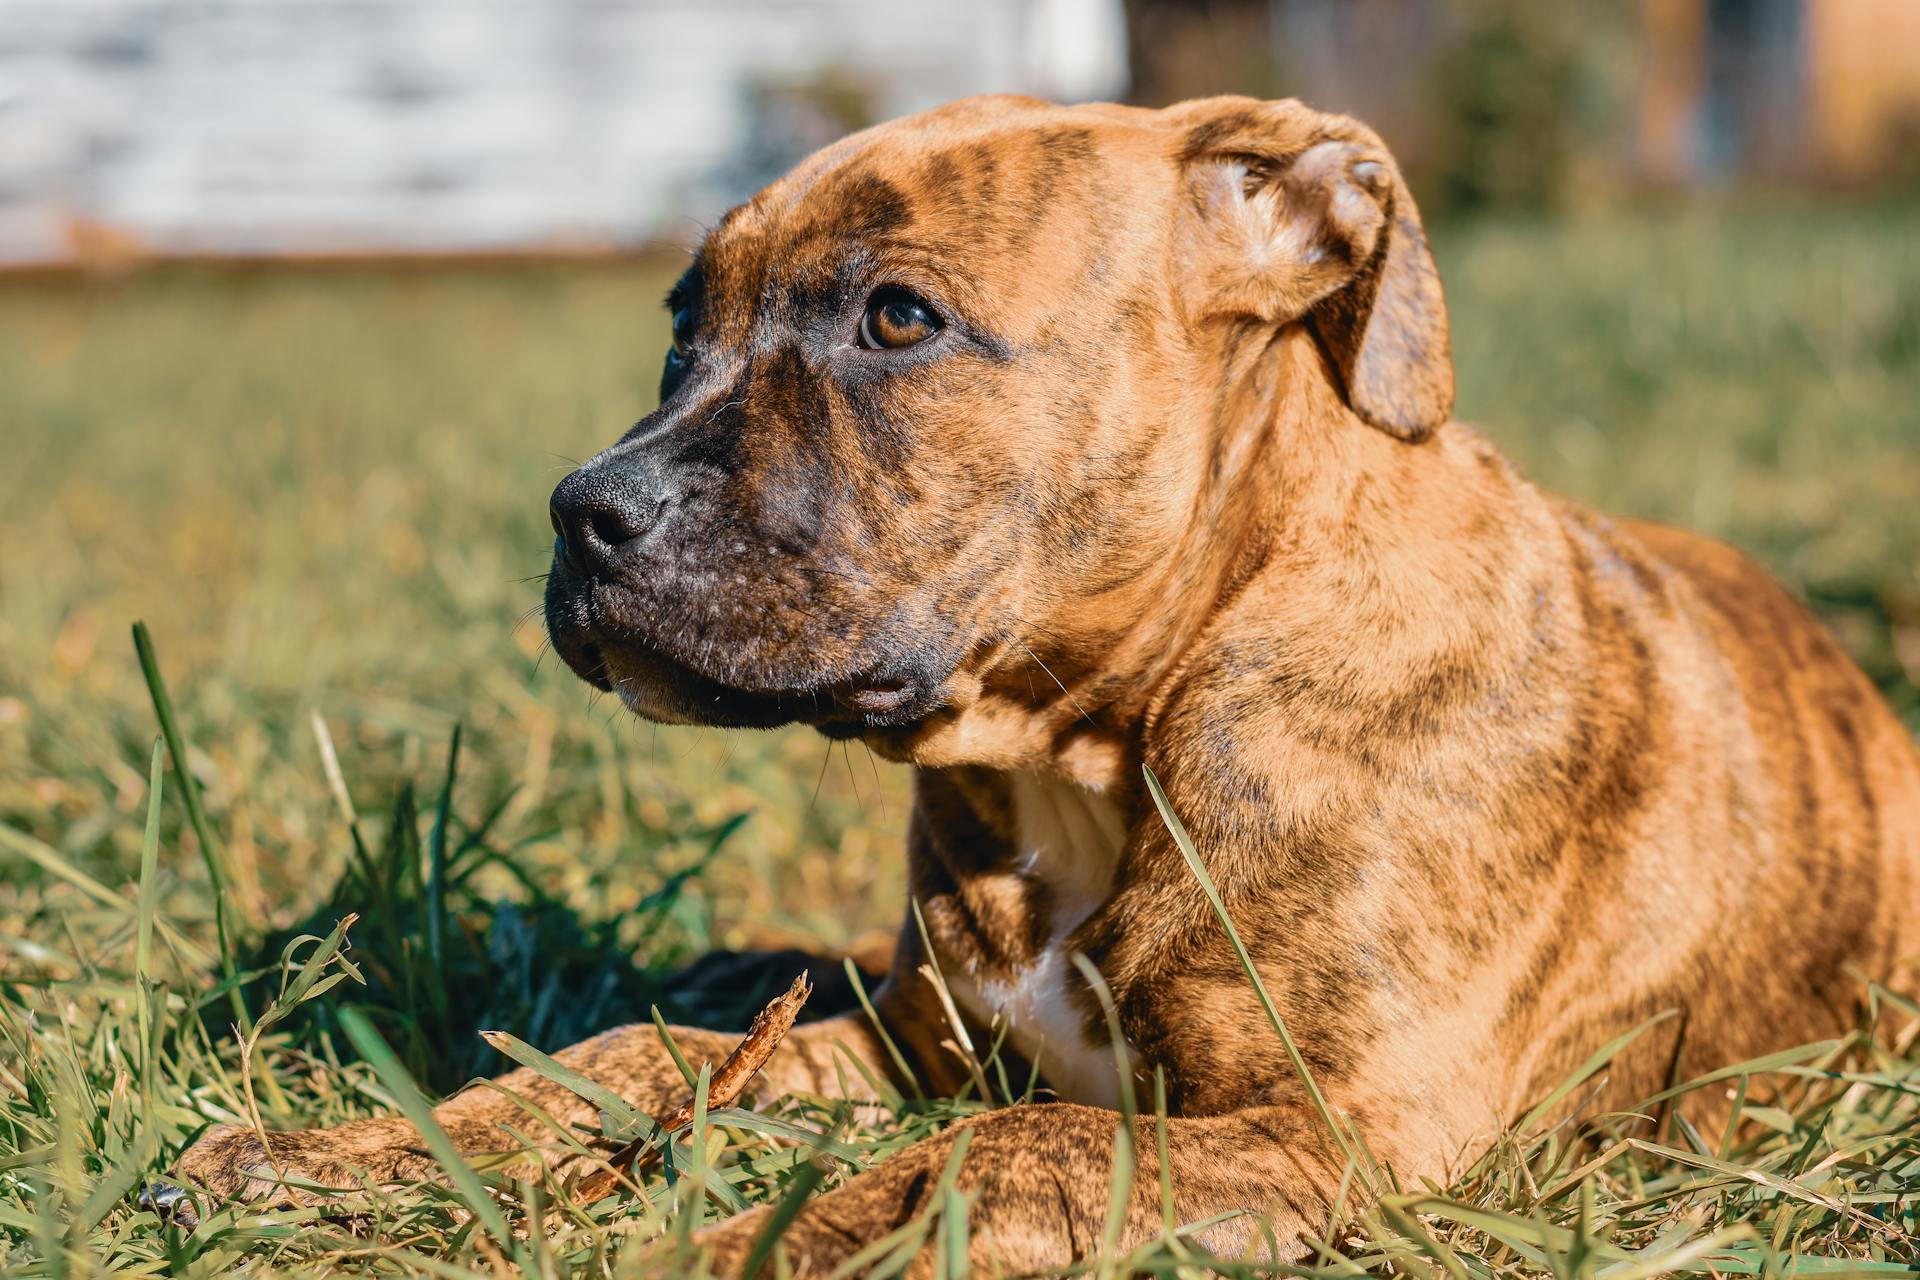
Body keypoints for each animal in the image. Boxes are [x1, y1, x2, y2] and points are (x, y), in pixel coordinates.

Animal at [153, 97, 1920, 1274]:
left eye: (898, 318)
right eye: (678, 330)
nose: (583, 512)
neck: (1093, 749)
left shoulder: (1332, 1133)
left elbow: (1001, 1155)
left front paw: (705, 1250)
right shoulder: (907, 1037)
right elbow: (642, 1052)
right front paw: (356, 1152)